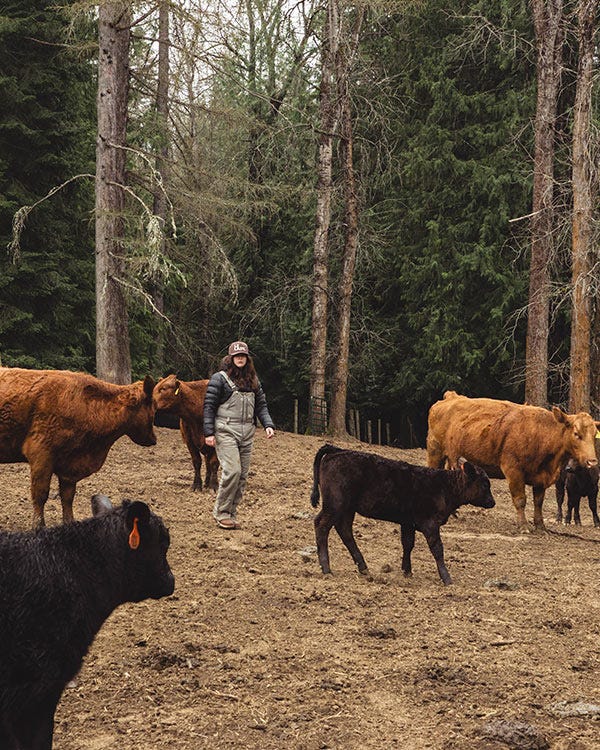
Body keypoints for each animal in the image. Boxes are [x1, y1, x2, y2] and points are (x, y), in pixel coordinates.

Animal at [0, 367, 157, 528]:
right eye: (152, 408)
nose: (153, 439)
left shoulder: (70, 465)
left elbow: (68, 496)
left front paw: (70, 523)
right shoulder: (41, 455)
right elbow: (40, 494)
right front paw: (38, 526)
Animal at [310, 444, 495, 586]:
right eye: (485, 484)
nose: (492, 502)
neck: (445, 486)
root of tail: (337, 450)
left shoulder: (408, 522)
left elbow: (408, 544)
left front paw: (407, 570)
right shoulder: (430, 524)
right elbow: (437, 549)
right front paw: (446, 577)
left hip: (347, 509)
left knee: (345, 531)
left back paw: (362, 567)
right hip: (335, 504)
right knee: (322, 525)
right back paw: (326, 568)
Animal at [426, 390, 600, 532]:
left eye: (594, 434)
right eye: (576, 434)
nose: (592, 462)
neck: (541, 433)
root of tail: (451, 397)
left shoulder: (541, 477)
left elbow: (538, 502)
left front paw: (540, 526)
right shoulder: (513, 470)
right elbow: (520, 499)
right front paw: (523, 526)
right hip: (435, 452)